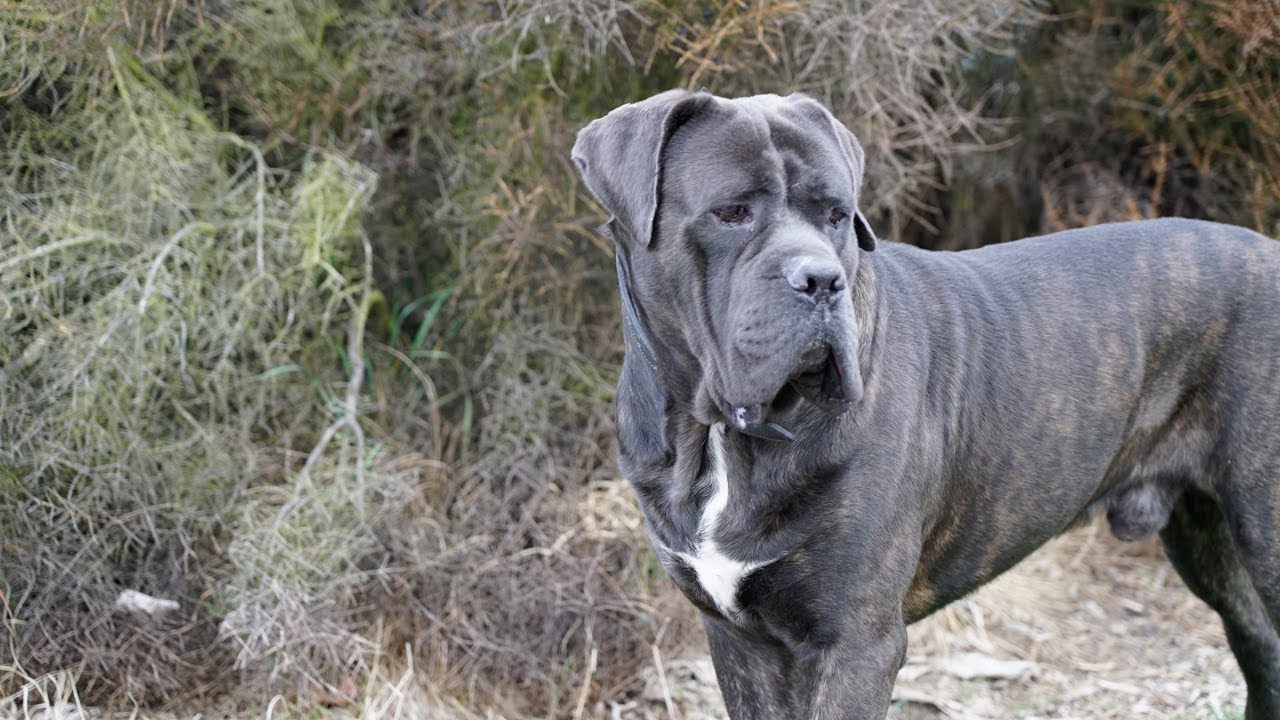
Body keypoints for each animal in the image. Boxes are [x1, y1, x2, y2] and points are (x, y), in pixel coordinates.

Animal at [570, 90, 1280, 717]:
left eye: (836, 215)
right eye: (732, 212)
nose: (821, 279)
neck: (716, 439)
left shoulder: (855, 643)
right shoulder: (740, 639)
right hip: (1206, 538)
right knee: (1259, 643)